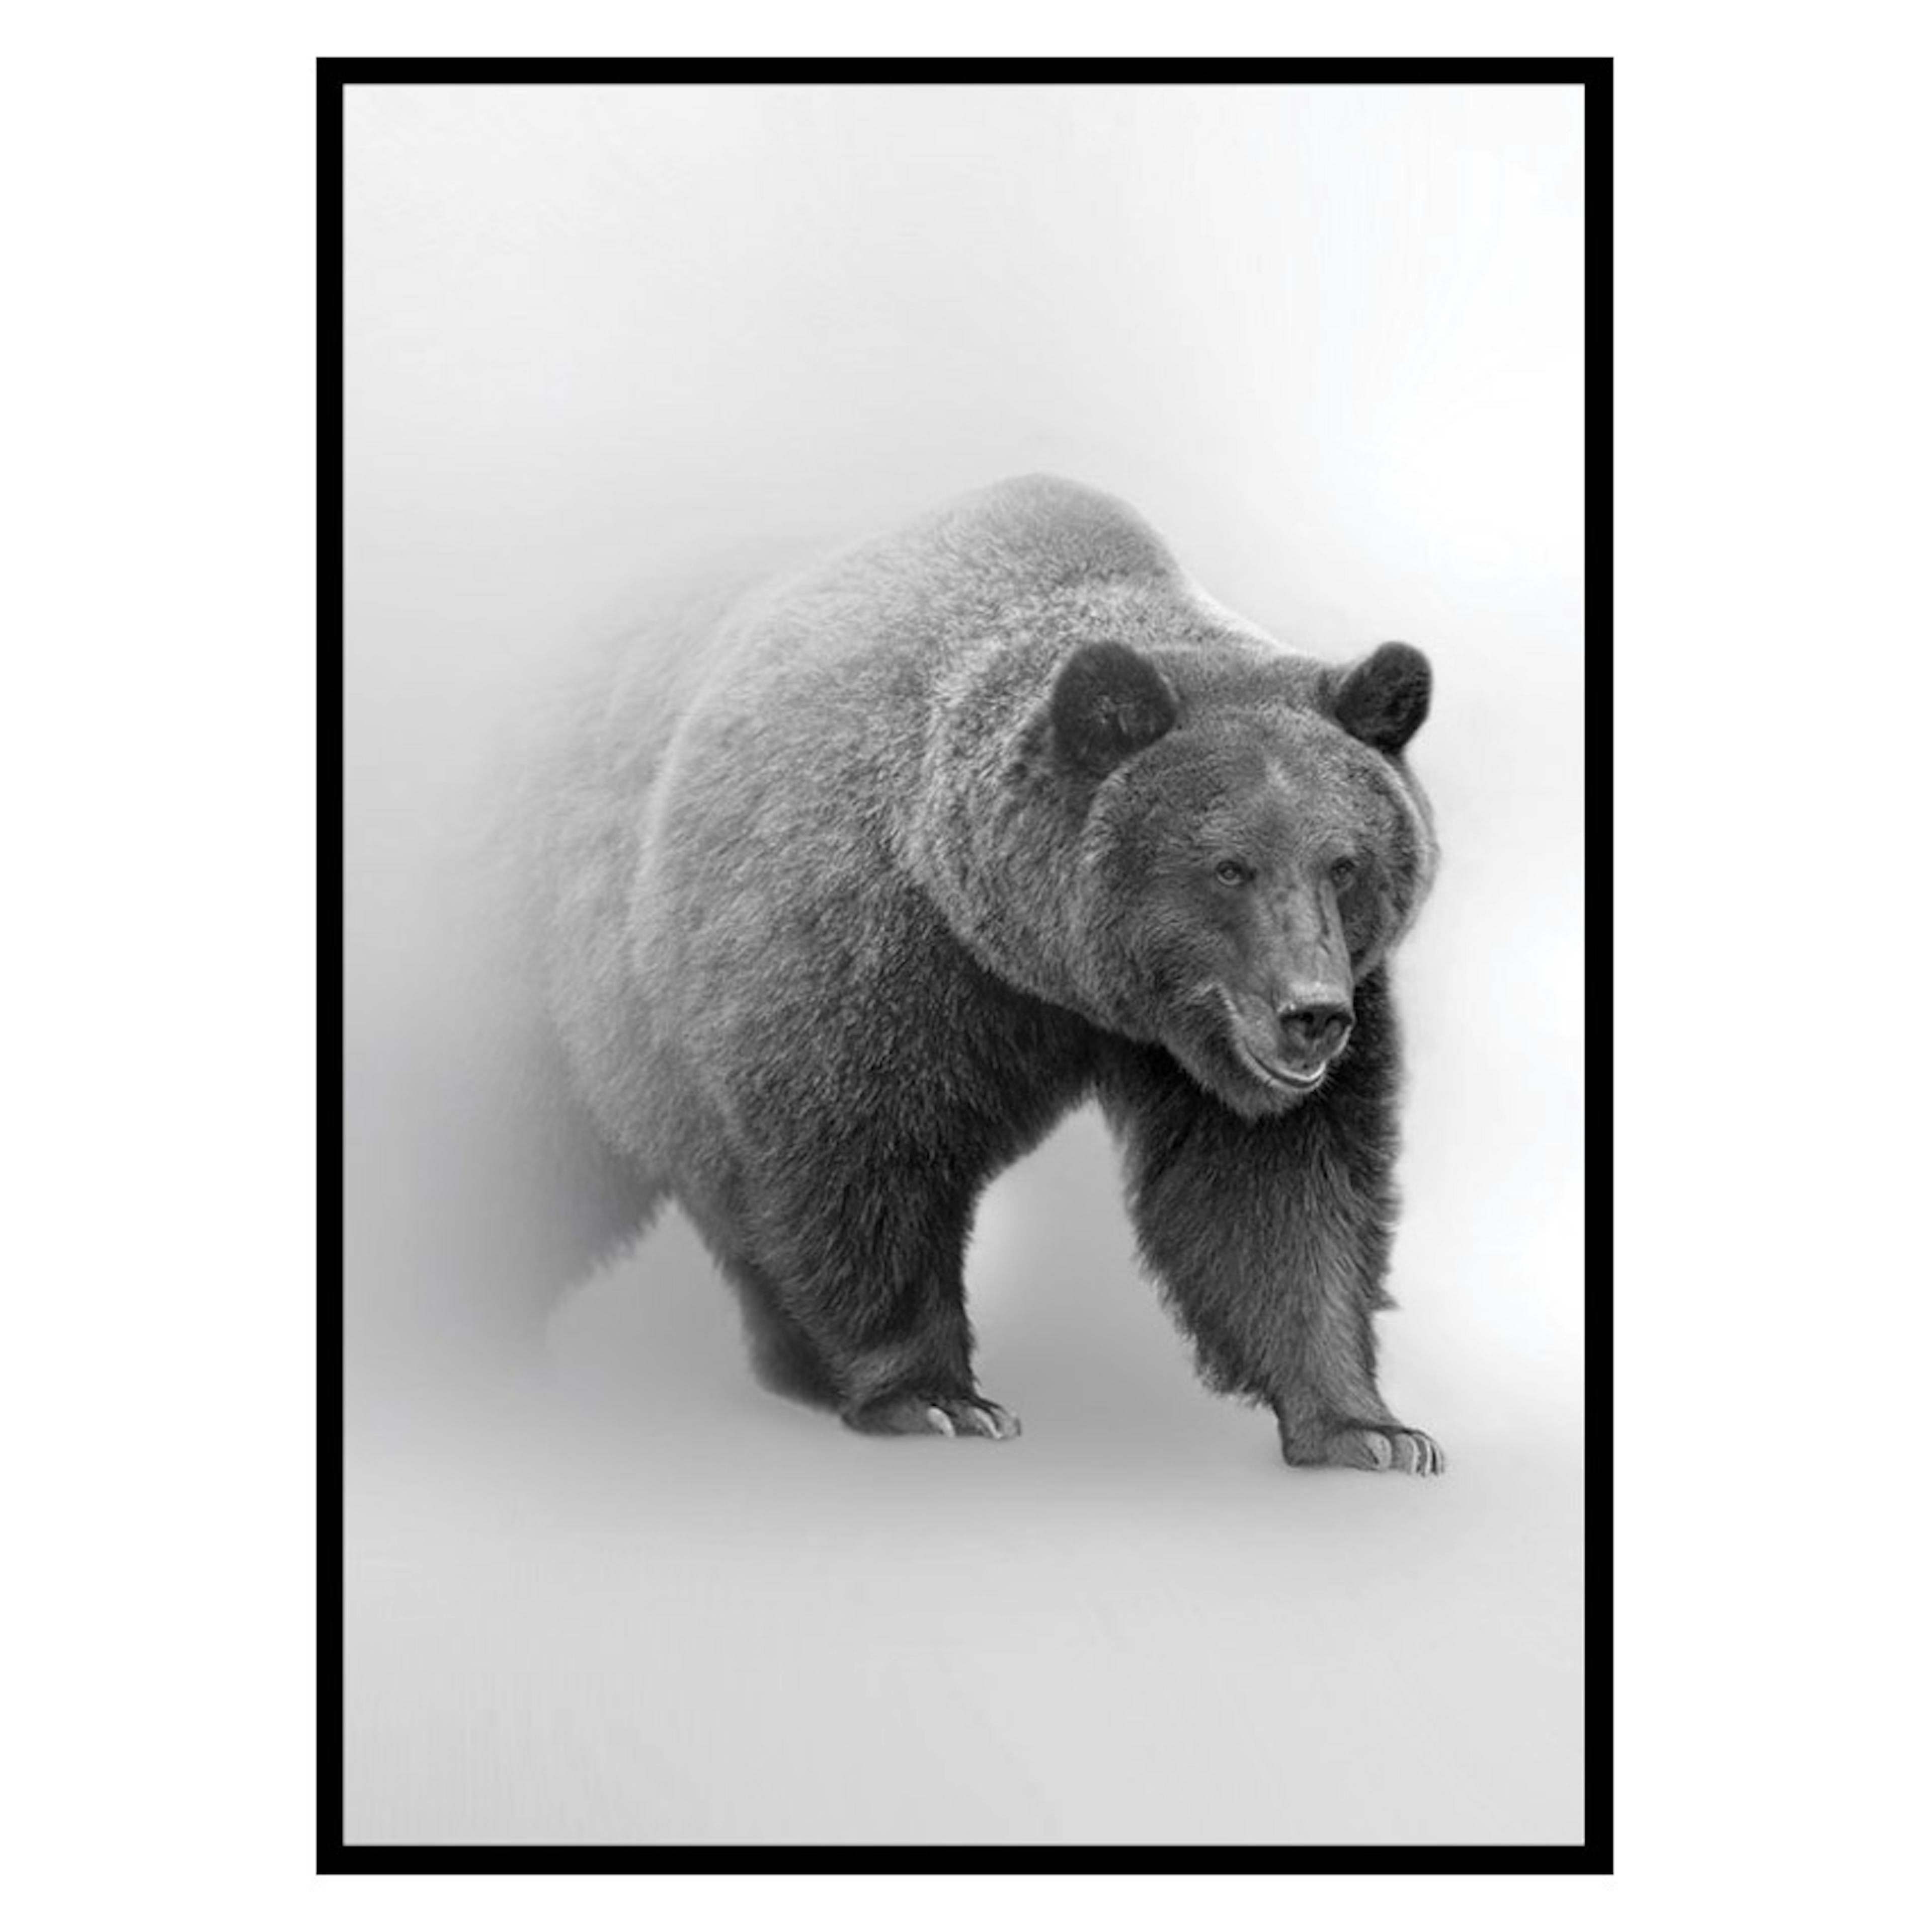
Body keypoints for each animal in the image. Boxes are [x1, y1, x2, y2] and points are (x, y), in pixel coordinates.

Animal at [494, 474, 1442, 1473]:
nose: (1312, 1015)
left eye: (1344, 863)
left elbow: (1278, 1187)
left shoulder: (1228, 1032)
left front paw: (1367, 1427)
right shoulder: (859, 949)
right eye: (1229, 867)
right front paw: (936, 1396)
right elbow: (860, 1156)